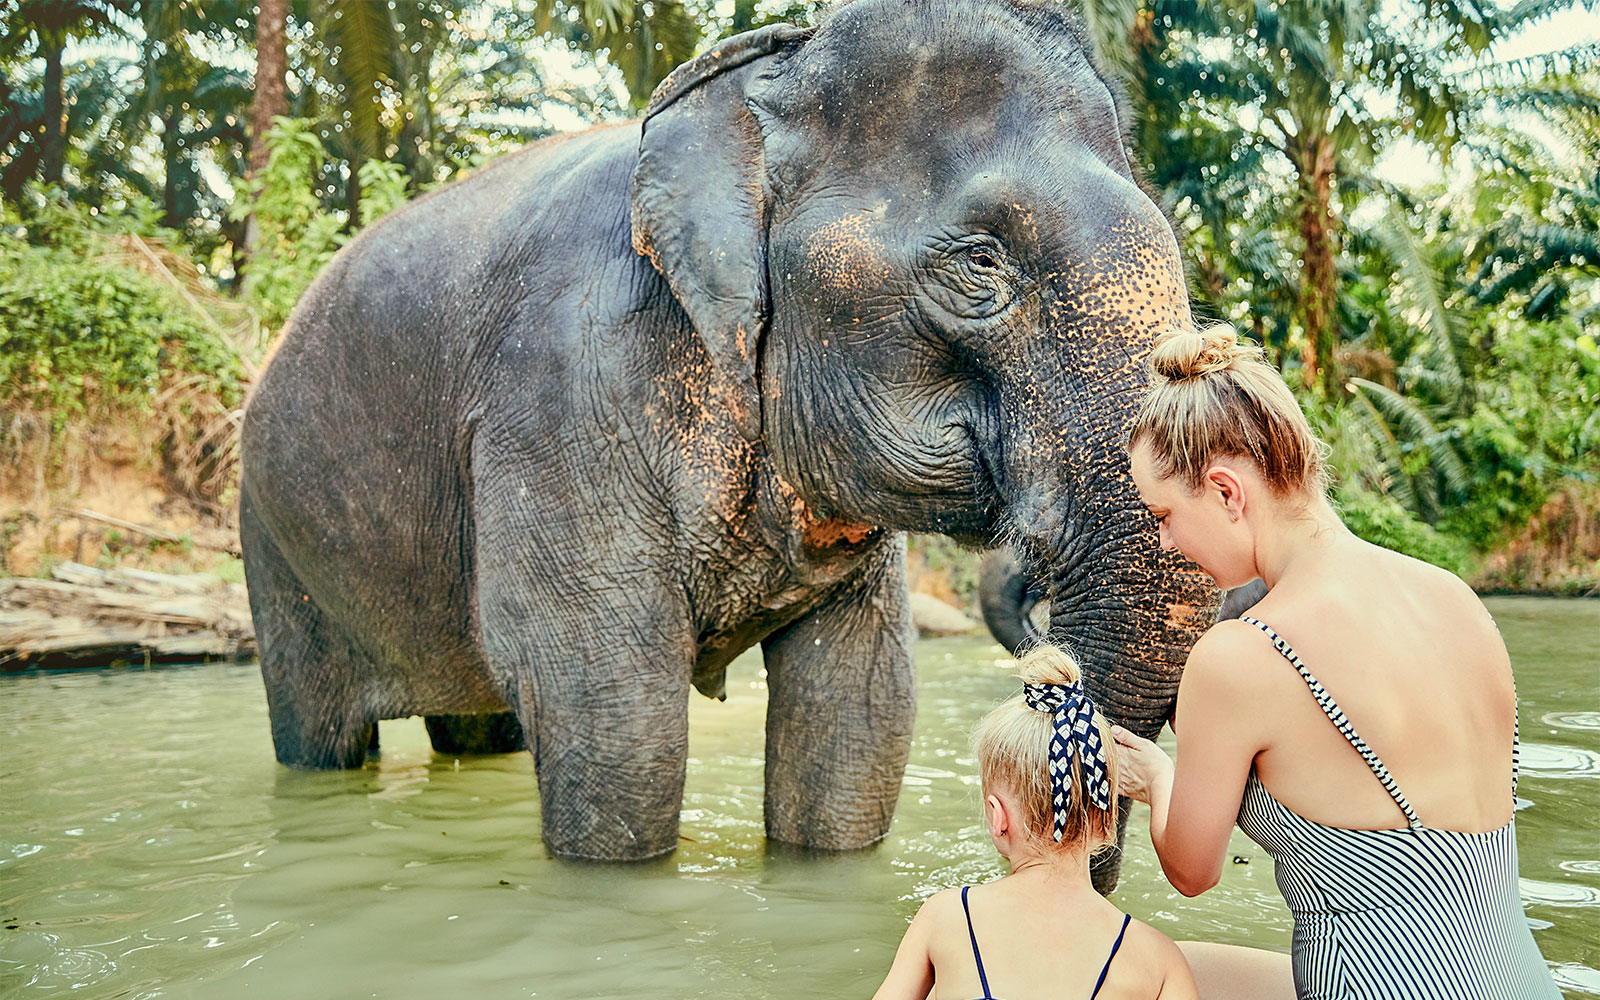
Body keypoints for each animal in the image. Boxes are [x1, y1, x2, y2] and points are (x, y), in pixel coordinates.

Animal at [238, 0, 1220, 871]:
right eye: (982, 261)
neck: (765, 67)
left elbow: (861, 712)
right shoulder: (560, 394)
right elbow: (614, 709)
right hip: (275, 543)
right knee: (319, 731)